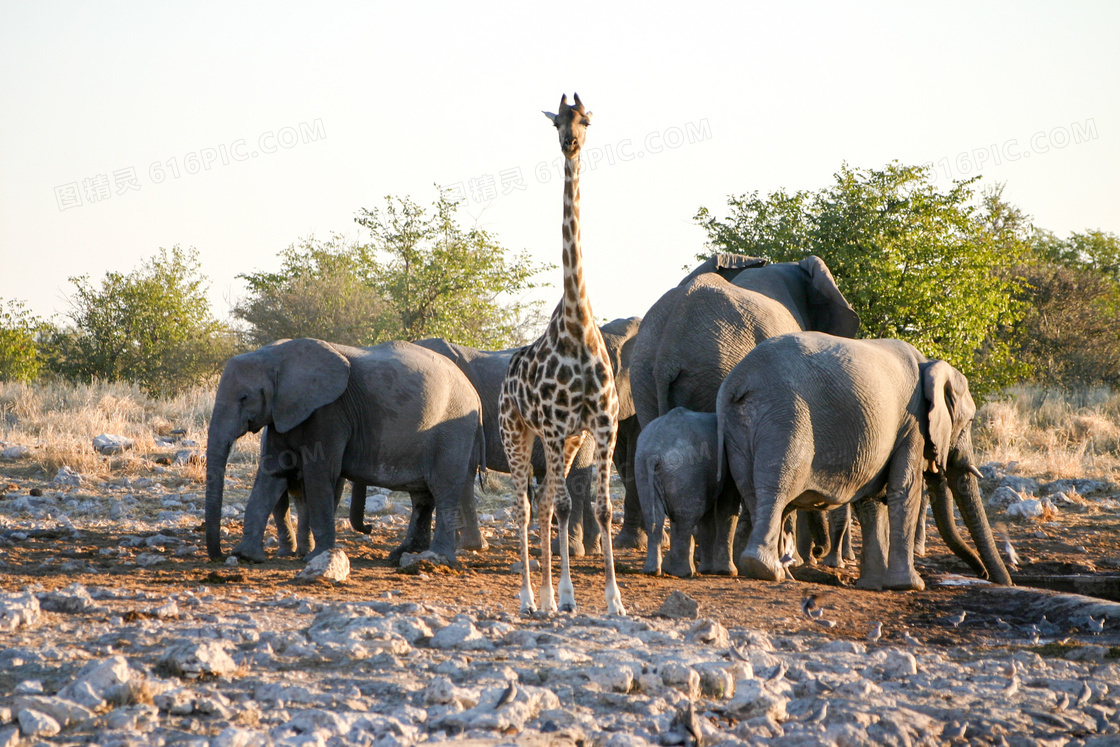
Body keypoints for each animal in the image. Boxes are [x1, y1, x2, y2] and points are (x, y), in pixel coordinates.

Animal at [203, 338, 483, 559]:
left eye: (244, 397)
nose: (220, 556)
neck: (275, 354)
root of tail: (474, 393)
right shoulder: (284, 413)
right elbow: (273, 474)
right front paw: (246, 556)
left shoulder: (329, 413)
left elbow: (319, 474)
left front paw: (316, 556)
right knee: (422, 496)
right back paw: (402, 555)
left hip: (453, 429)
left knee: (443, 487)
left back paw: (437, 558)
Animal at [636, 409, 739, 577]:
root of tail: (655, 453)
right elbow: (727, 505)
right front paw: (726, 572)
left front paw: (708, 570)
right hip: (686, 470)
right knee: (687, 516)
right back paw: (682, 573)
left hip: (643, 467)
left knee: (653, 515)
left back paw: (653, 571)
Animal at [716, 331, 1016, 591]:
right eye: (970, 422)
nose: (988, 576)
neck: (929, 364)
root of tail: (739, 381)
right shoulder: (913, 423)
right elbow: (905, 488)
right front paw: (910, 586)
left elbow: (871, 500)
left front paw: (873, 585)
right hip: (786, 416)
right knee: (777, 488)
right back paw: (766, 570)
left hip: (738, 424)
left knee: (751, 492)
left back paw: (772, 572)